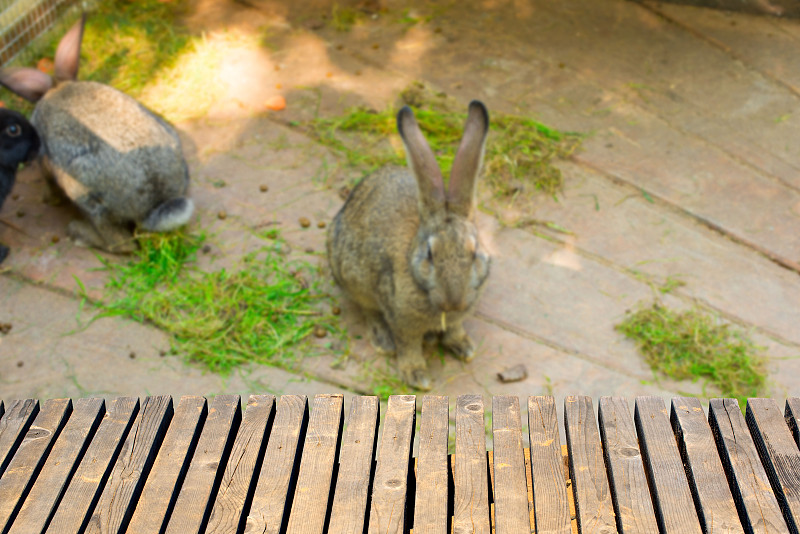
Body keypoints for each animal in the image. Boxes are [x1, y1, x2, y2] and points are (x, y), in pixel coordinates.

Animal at [326, 102, 490, 392]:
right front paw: (417, 376)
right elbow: (408, 345)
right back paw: (383, 340)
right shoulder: (400, 317)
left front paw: (463, 346)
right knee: (369, 310)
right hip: (353, 277)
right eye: (430, 254)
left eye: (474, 253)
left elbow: (455, 327)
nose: (454, 302)